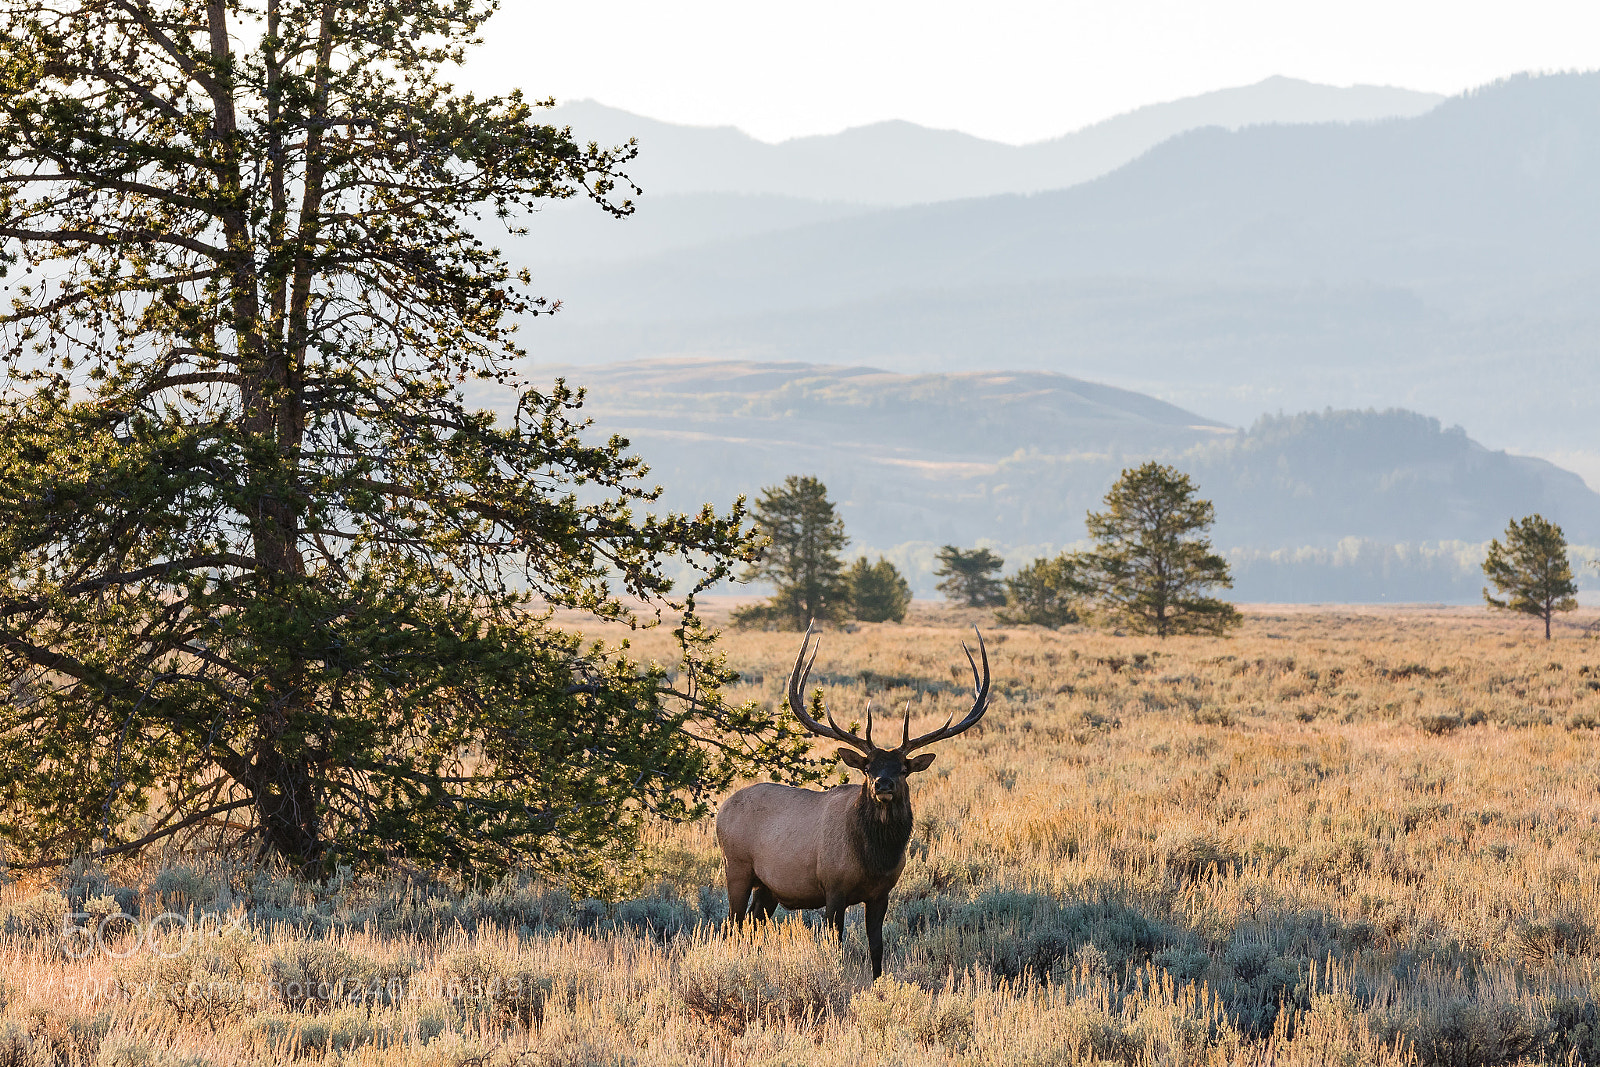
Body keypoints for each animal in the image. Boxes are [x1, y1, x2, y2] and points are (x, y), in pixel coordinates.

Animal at [714, 624, 991, 979]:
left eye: (903, 769)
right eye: (868, 767)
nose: (883, 784)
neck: (874, 858)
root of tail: (721, 810)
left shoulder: (882, 894)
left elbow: (877, 948)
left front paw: (877, 982)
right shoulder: (833, 887)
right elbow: (836, 944)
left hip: (768, 886)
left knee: (751, 922)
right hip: (736, 865)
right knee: (732, 923)